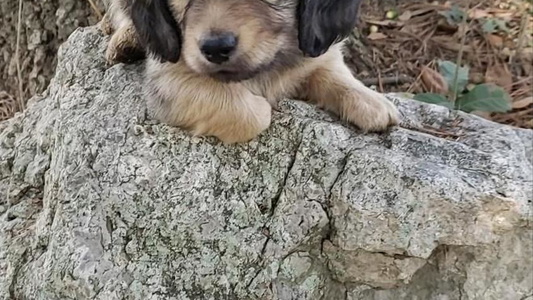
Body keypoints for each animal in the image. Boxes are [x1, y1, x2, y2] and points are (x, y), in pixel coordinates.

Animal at [102, 0, 396, 144]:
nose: (215, 48)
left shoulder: (313, 49)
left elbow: (331, 69)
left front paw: (370, 101)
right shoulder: (168, 79)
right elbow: (255, 112)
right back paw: (128, 40)